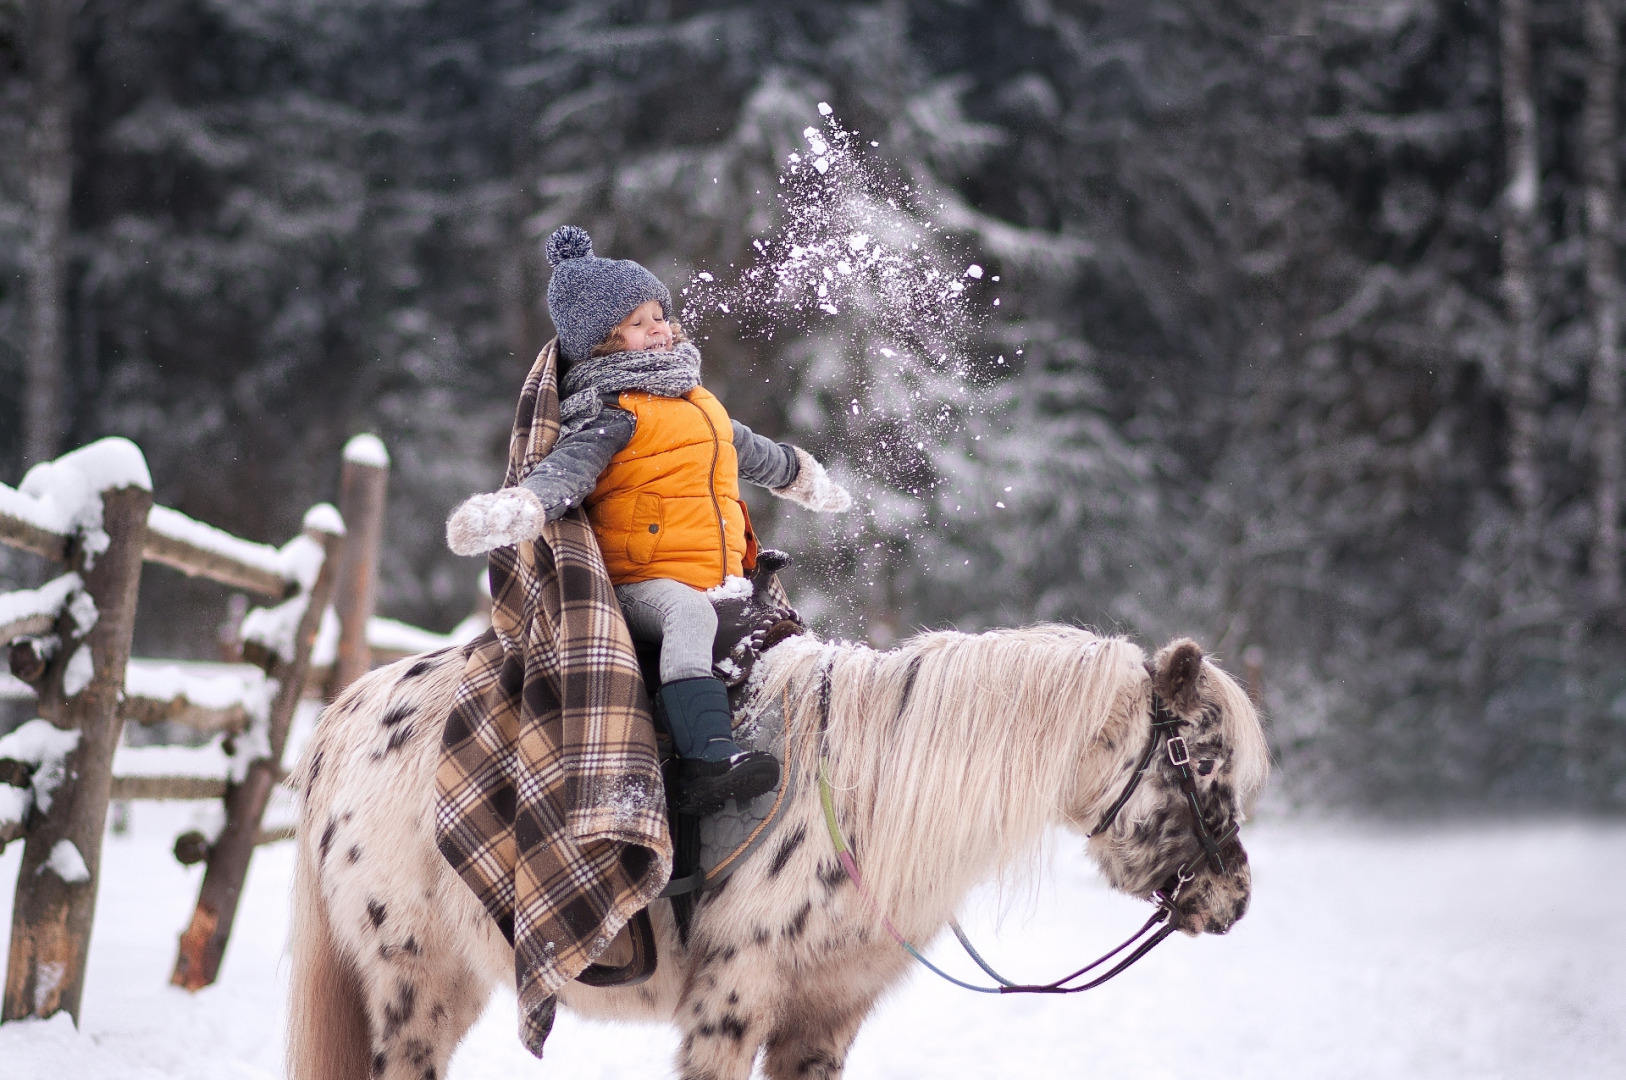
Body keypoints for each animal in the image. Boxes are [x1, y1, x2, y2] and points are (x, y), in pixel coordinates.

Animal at [289, 624, 1268, 1080]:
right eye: (1200, 759)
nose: (1235, 897)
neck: (872, 799)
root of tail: (346, 714)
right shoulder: (731, 1001)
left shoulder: (826, 1016)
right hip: (416, 982)